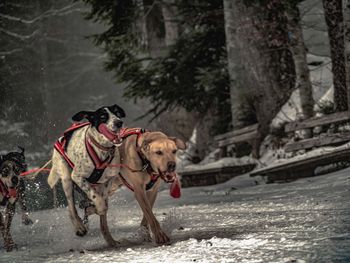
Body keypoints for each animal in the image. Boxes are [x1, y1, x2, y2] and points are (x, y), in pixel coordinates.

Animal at [47, 104, 125, 239]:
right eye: (103, 116)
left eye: (117, 113)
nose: (119, 122)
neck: (101, 149)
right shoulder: (78, 177)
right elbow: (96, 198)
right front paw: (99, 206)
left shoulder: (108, 180)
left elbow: (103, 198)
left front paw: (96, 207)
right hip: (67, 179)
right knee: (71, 208)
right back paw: (79, 226)